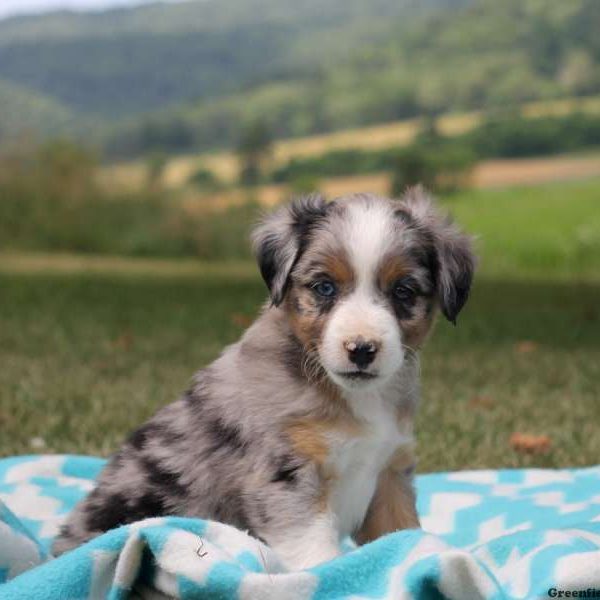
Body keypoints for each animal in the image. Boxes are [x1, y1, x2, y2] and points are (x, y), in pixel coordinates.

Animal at [52, 190, 474, 568]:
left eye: (403, 291)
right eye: (324, 287)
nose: (361, 348)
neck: (352, 396)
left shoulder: (389, 472)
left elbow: (403, 534)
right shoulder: (286, 475)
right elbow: (315, 551)